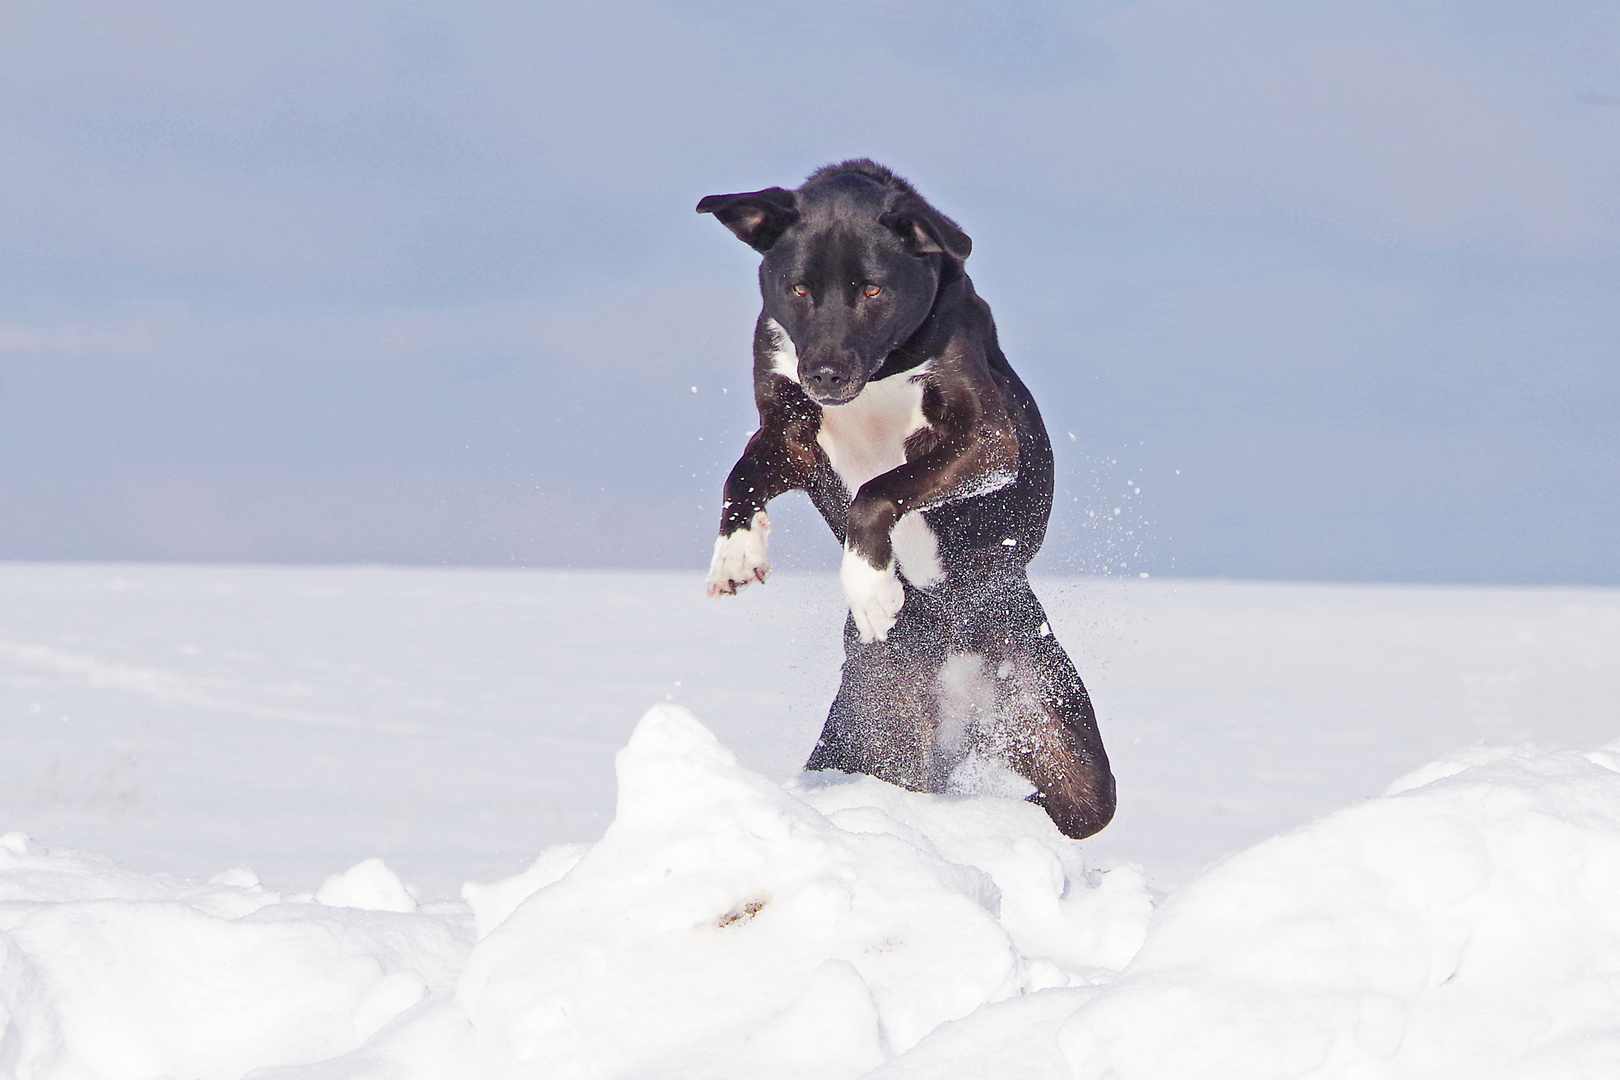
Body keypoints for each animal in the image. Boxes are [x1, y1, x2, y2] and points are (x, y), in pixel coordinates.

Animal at [696, 160, 1114, 841]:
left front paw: (869, 586)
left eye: (873, 291)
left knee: (1077, 807)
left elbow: (877, 490)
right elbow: (740, 477)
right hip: (870, 736)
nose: (826, 373)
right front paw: (735, 553)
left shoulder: (987, 440)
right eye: (798, 288)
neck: (881, 370)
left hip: (1054, 729)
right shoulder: (790, 434)